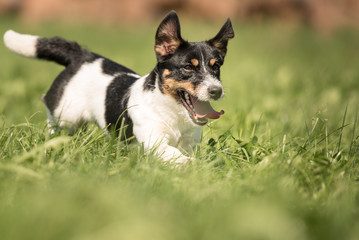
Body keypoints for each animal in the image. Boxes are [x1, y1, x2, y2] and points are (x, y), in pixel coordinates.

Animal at [4, 11, 235, 165]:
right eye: (188, 67)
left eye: (216, 67)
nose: (216, 91)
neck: (172, 112)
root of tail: (82, 55)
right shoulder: (153, 140)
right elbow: (174, 155)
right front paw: (190, 166)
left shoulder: (189, 144)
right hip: (65, 113)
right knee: (52, 116)